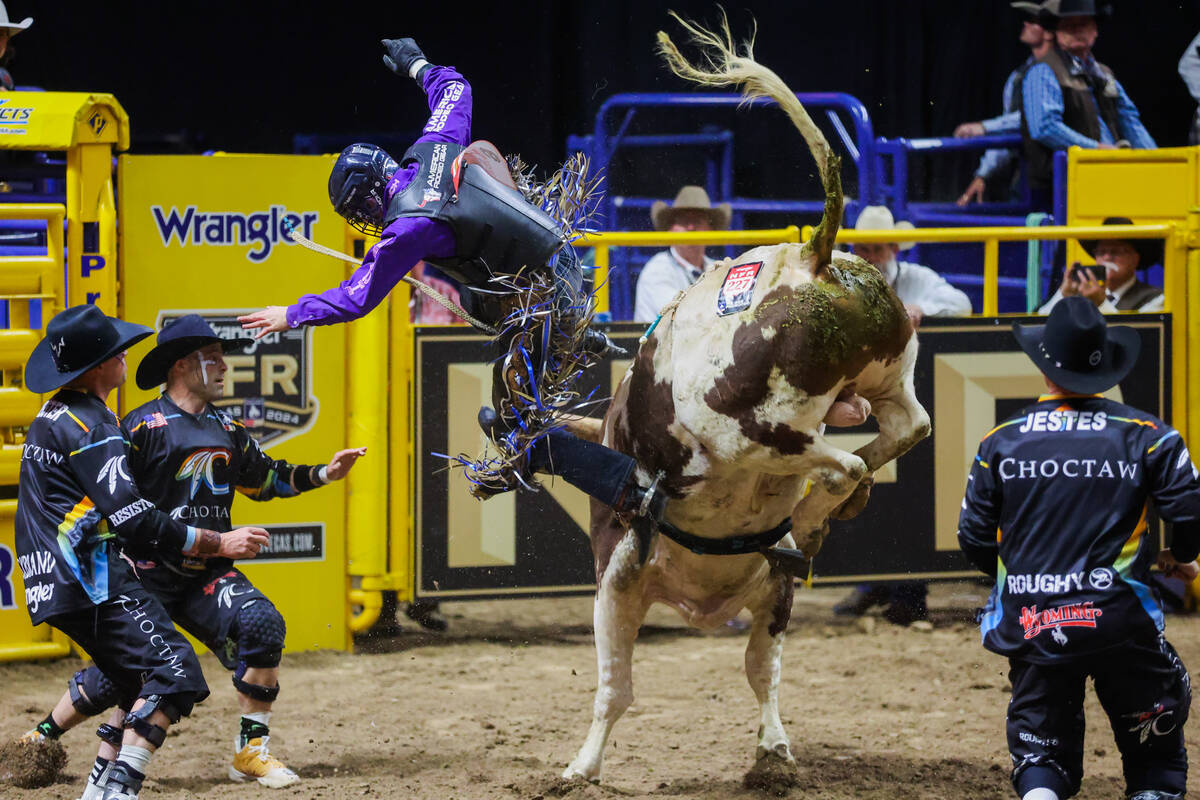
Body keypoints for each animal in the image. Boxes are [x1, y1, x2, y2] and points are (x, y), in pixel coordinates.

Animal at [559, 15, 926, 786]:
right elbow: (762, 669)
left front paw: (581, 766)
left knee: (834, 461)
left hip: (748, 425)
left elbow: (616, 686)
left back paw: (813, 517)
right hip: (885, 371)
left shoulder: (616, 572)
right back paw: (821, 515)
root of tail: (810, 259)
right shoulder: (768, 598)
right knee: (906, 428)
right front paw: (774, 753)